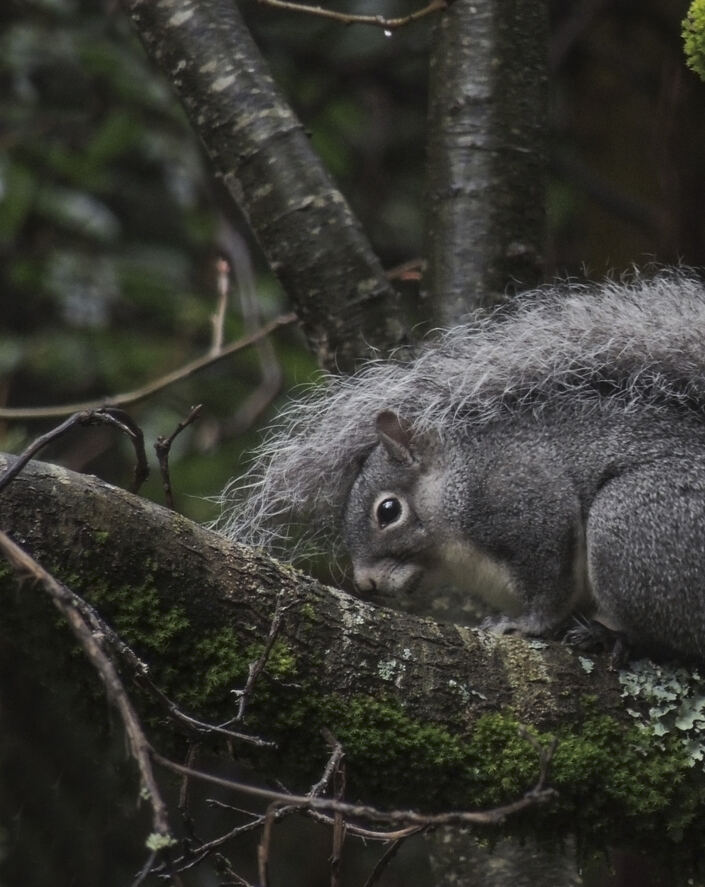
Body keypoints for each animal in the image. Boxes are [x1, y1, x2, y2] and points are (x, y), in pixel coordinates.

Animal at [219, 274, 705, 664]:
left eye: (388, 511)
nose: (366, 583)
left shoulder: (522, 499)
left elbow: (548, 584)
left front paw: (526, 624)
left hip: (634, 528)